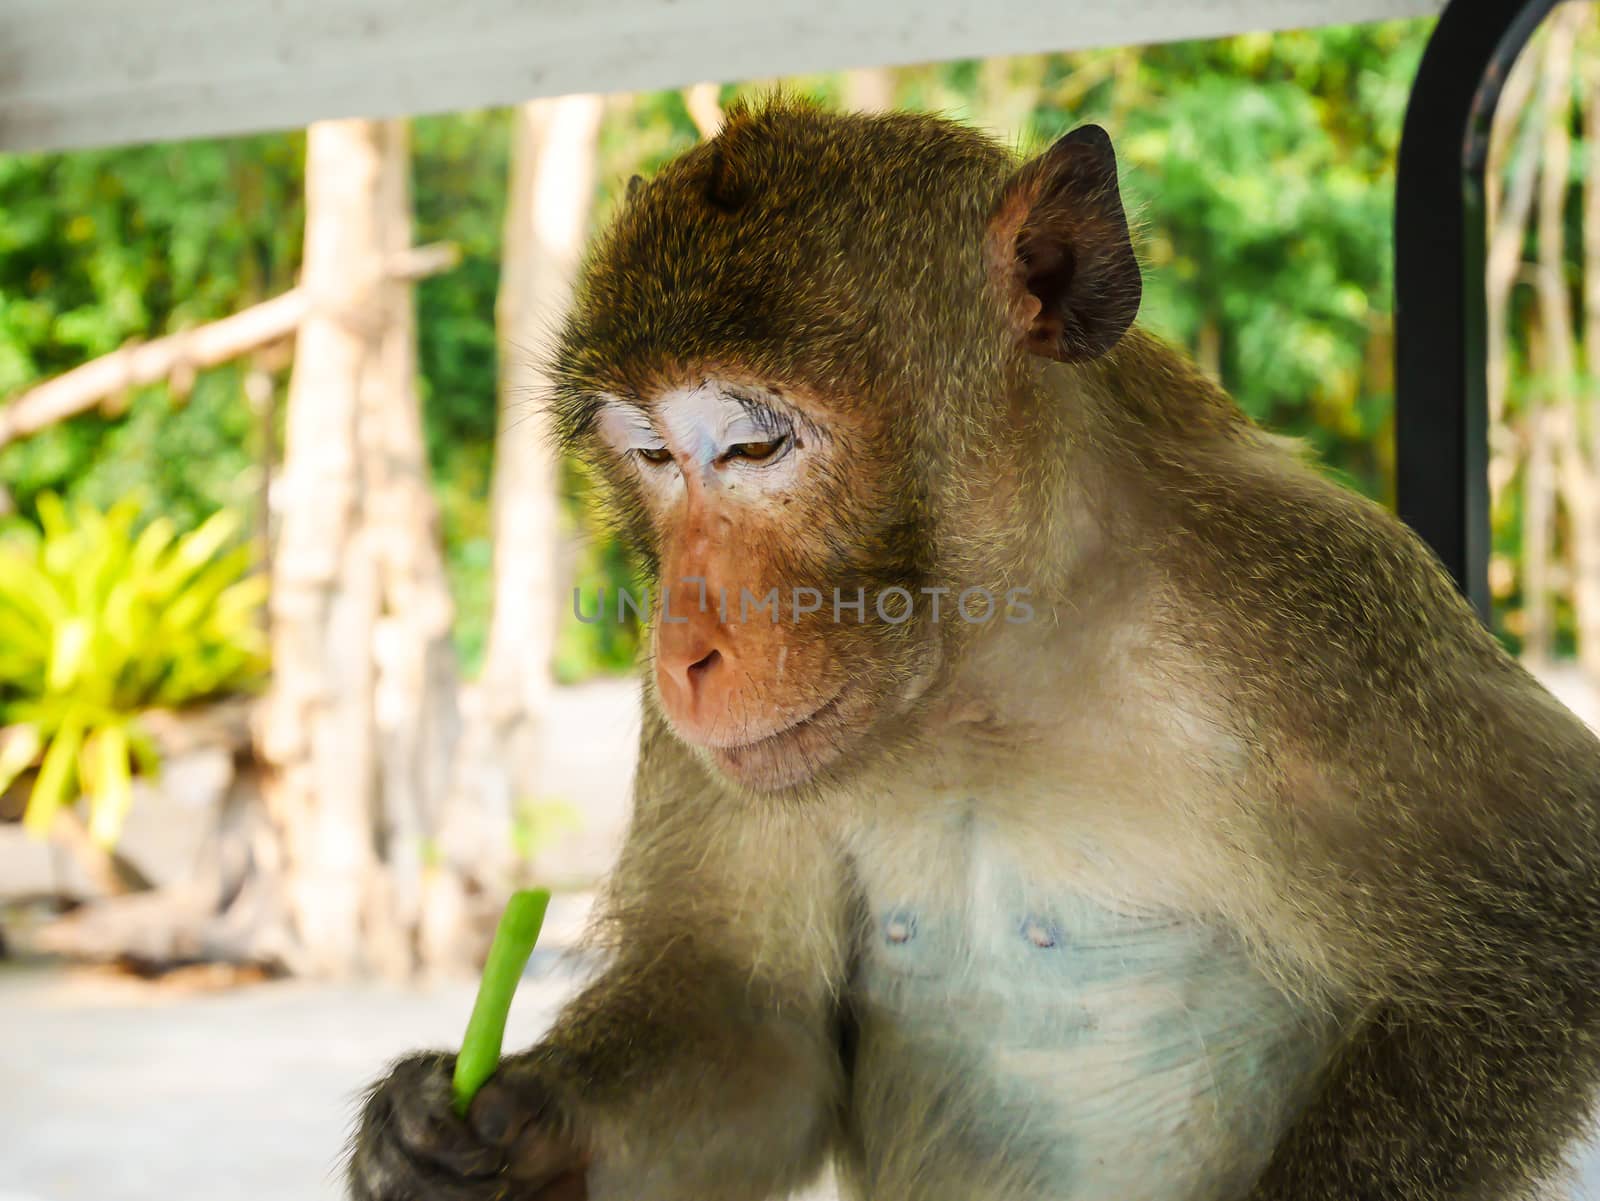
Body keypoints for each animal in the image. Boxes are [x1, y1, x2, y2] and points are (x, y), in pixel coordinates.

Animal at [344, 96, 1600, 1201]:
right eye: (652, 456)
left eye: (753, 447)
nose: (682, 649)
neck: (985, 663)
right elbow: (752, 1024)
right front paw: (493, 1128)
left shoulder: (1309, 614)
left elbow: (1530, 956)